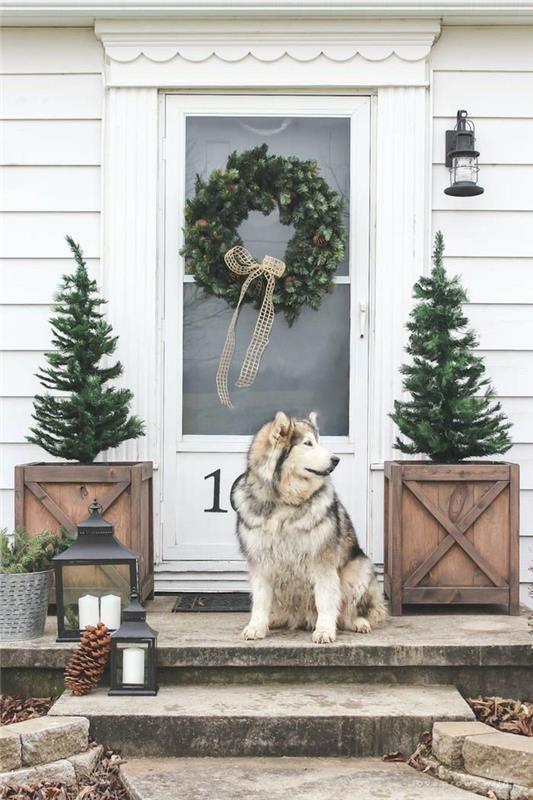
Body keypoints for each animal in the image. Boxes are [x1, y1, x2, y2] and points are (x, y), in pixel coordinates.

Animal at [231, 412, 384, 644]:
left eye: (319, 441)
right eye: (308, 443)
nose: (336, 459)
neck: (284, 502)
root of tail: (303, 618)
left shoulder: (322, 561)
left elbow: (326, 601)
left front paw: (324, 630)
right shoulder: (261, 561)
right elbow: (260, 600)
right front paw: (256, 626)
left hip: (359, 570)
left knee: (347, 612)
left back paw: (357, 622)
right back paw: (272, 621)